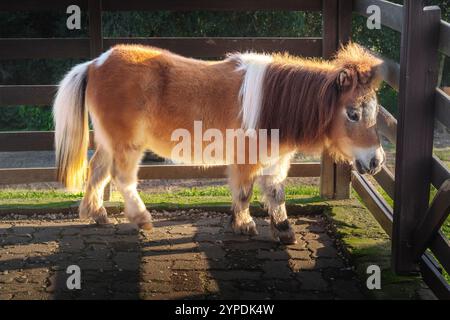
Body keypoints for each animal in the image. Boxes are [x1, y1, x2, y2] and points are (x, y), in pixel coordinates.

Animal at [51, 42, 384, 242]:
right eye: (353, 113)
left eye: (375, 110)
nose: (377, 160)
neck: (272, 102)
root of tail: (95, 63)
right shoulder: (248, 159)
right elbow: (245, 193)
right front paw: (244, 224)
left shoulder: (275, 160)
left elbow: (275, 193)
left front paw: (283, 228)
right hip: (127, 145)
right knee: (122, 178)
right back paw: (141, 218)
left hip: (110, 142)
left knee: (97, 171)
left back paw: (96, 213)